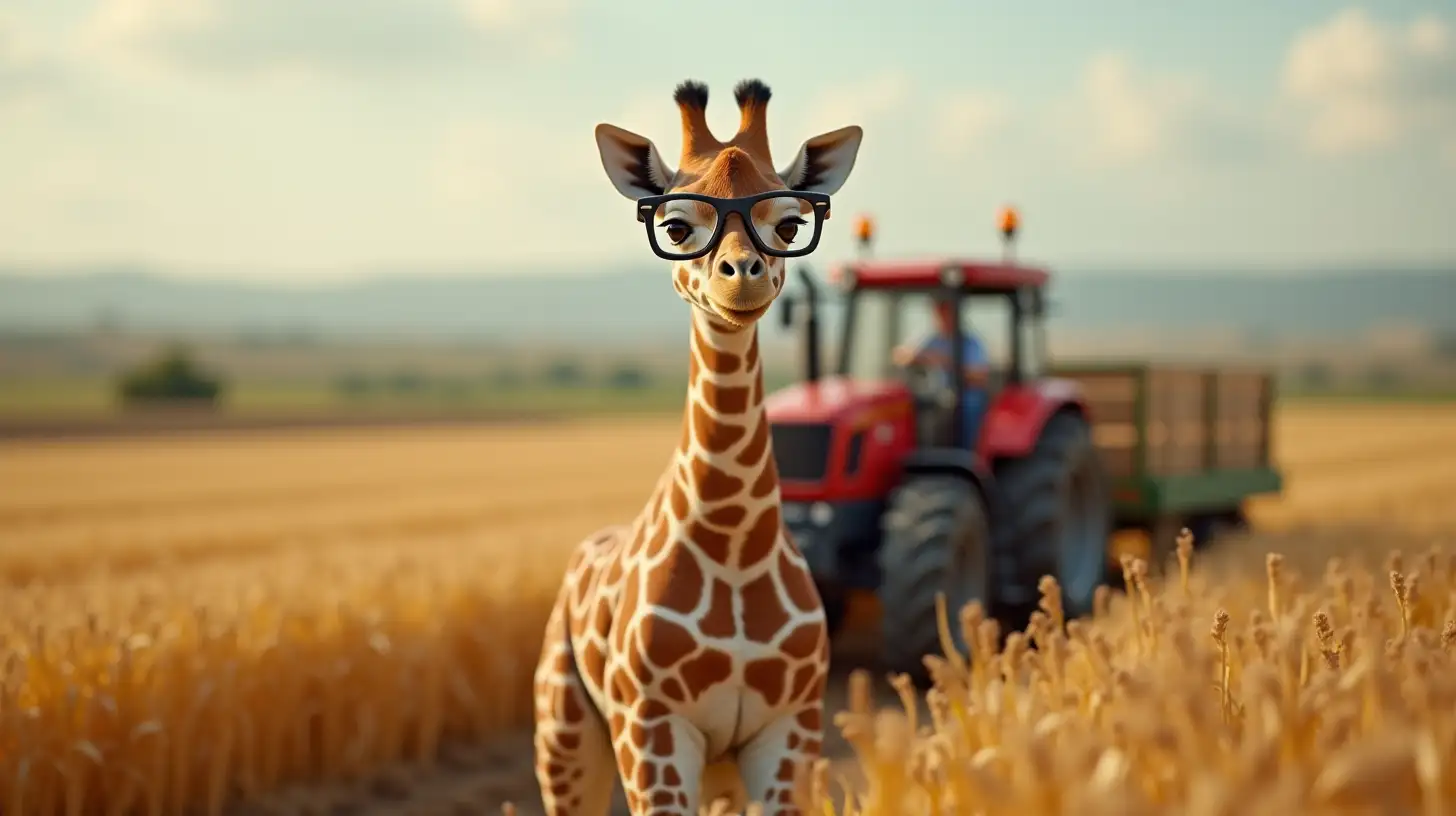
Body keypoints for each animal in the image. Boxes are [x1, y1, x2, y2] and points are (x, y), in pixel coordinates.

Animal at [532, 77, 861, 816]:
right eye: (677, 226)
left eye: (789, 223)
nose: (742, 276)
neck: (735, 545)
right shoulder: (652, 726)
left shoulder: (788, 729)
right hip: (563, 735)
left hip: (716, 771)